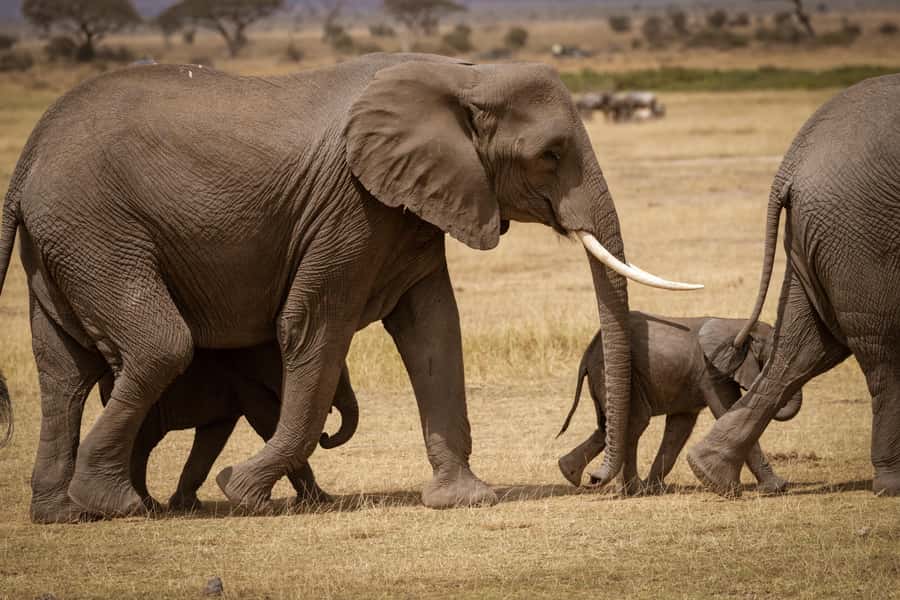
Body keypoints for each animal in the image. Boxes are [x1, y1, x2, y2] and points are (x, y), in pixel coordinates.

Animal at [97, 345, 358, 514]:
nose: (325, 435)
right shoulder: (245, 381)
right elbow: (267, 420)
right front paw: (322, 501)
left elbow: (214, 435)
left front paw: (187, 505)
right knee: (141, 443)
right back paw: (146, 506)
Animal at [556, 313, 801, 495]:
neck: (737, 325)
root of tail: (589, 351)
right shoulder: (711, 372)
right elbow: (726, 412)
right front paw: (778, 487)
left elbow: (680, 427)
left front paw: (656, 488)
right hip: (617, 376)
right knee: (635, 423)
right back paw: (630, 490)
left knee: (609, 427)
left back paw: (571, 473)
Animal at [687, 74, 900, 498]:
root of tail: (793, 163)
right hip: (861, 233)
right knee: (881, 352)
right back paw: (891, 485)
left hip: (825, 233)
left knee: (804, 348)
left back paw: (710, 472)